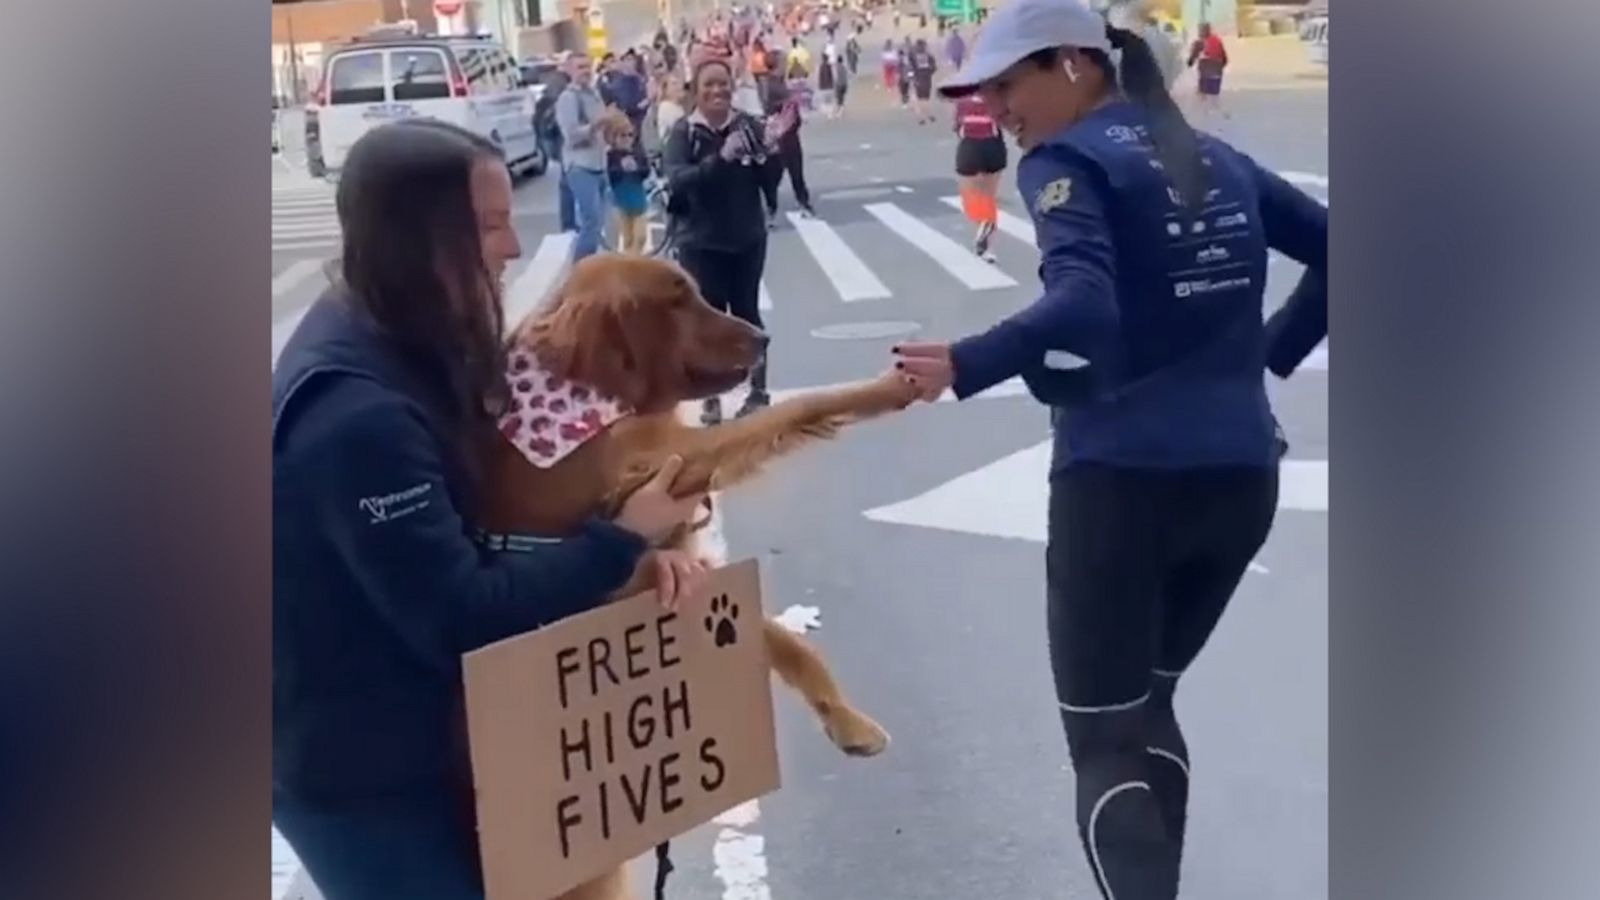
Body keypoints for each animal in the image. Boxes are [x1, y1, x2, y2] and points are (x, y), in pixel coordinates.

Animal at [473, 249, 921, 896]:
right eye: (679, 299)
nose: (762, 336)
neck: (590, 392)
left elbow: (788, 643)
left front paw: (848, 722)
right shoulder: (664, 460)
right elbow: (798, 407)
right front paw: (883, 388)